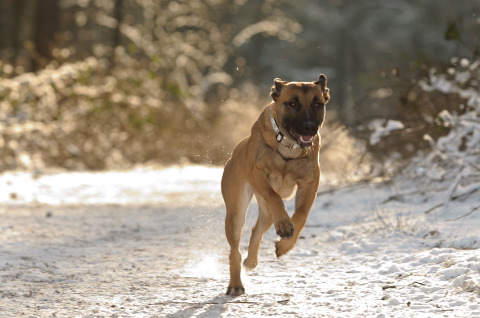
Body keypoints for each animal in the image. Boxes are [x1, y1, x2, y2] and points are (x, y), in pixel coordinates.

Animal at [221, 73, 330, 294]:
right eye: (293, 103)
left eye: (317, 103)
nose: (309, 127)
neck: (288, 145)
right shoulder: (257, 173)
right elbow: (274, 196)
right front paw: (285, 226)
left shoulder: (309, 183)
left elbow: (301, 215)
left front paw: (284, 244)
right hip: (236, 211)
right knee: (234, 250)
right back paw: (236, 284)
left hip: (265, 213)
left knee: (257, 230)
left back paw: (251, 260)